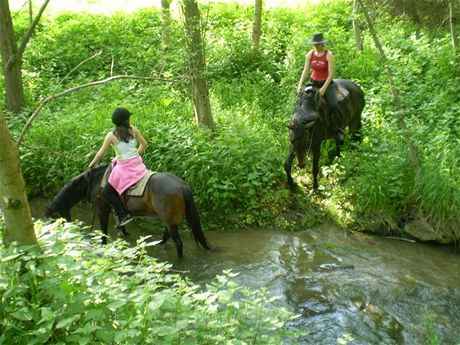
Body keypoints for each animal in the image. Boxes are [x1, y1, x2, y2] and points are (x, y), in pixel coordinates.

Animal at [45, 165, 210, 258]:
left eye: (53, 219)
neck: (94, 182)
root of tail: (182, 185)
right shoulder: (116, 210)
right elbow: (122, 226)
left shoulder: (102, 209)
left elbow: (104, 231)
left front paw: (103, 246)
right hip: (169, 219)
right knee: (167, 234)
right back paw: (158, 244)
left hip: (170, 220)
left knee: (178, 243)